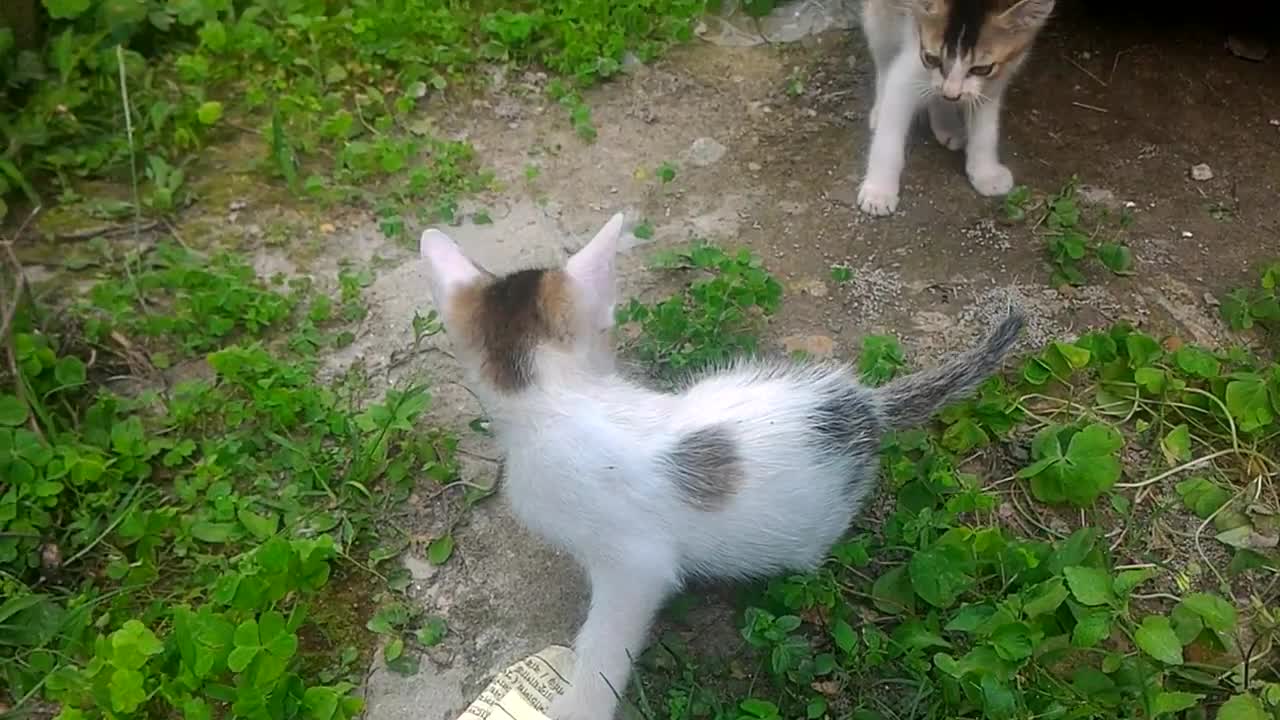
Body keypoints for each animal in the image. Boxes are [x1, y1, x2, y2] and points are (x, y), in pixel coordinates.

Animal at [855, 0, 1054, 213]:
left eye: (982, 69)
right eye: (931, 58)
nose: (952, 93)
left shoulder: (995, 80)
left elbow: (985, 130)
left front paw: (986, 173)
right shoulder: (910, 67)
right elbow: (889, 132)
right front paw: (878, 192)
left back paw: (947, 125)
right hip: (882, 17)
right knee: (884, 56)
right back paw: (879, 109)